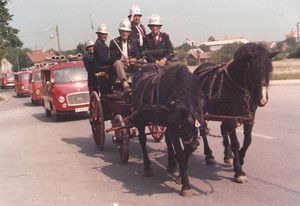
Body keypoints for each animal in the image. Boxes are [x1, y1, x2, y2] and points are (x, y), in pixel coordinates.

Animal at [130, 64, 205, 196]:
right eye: (177, 124)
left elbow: (188, 150)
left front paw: (181, 176)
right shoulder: (174, 131)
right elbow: (180, 154)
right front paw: (186, 185)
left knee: (166, 141)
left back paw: (171, 164)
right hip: (140, 121)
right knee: (143, 140)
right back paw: (148, 167)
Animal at [193, 43, 280, 183]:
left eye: (269, 70)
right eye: (252, 69)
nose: (262, 99)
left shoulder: (249, 116)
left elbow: (248, 140)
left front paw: (240, 157)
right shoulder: (232, 117)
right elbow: (235, 143)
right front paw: (239, 171)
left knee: (222, 129)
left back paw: (227, 155)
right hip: (201, 111)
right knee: (203, 130)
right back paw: (209, 155)